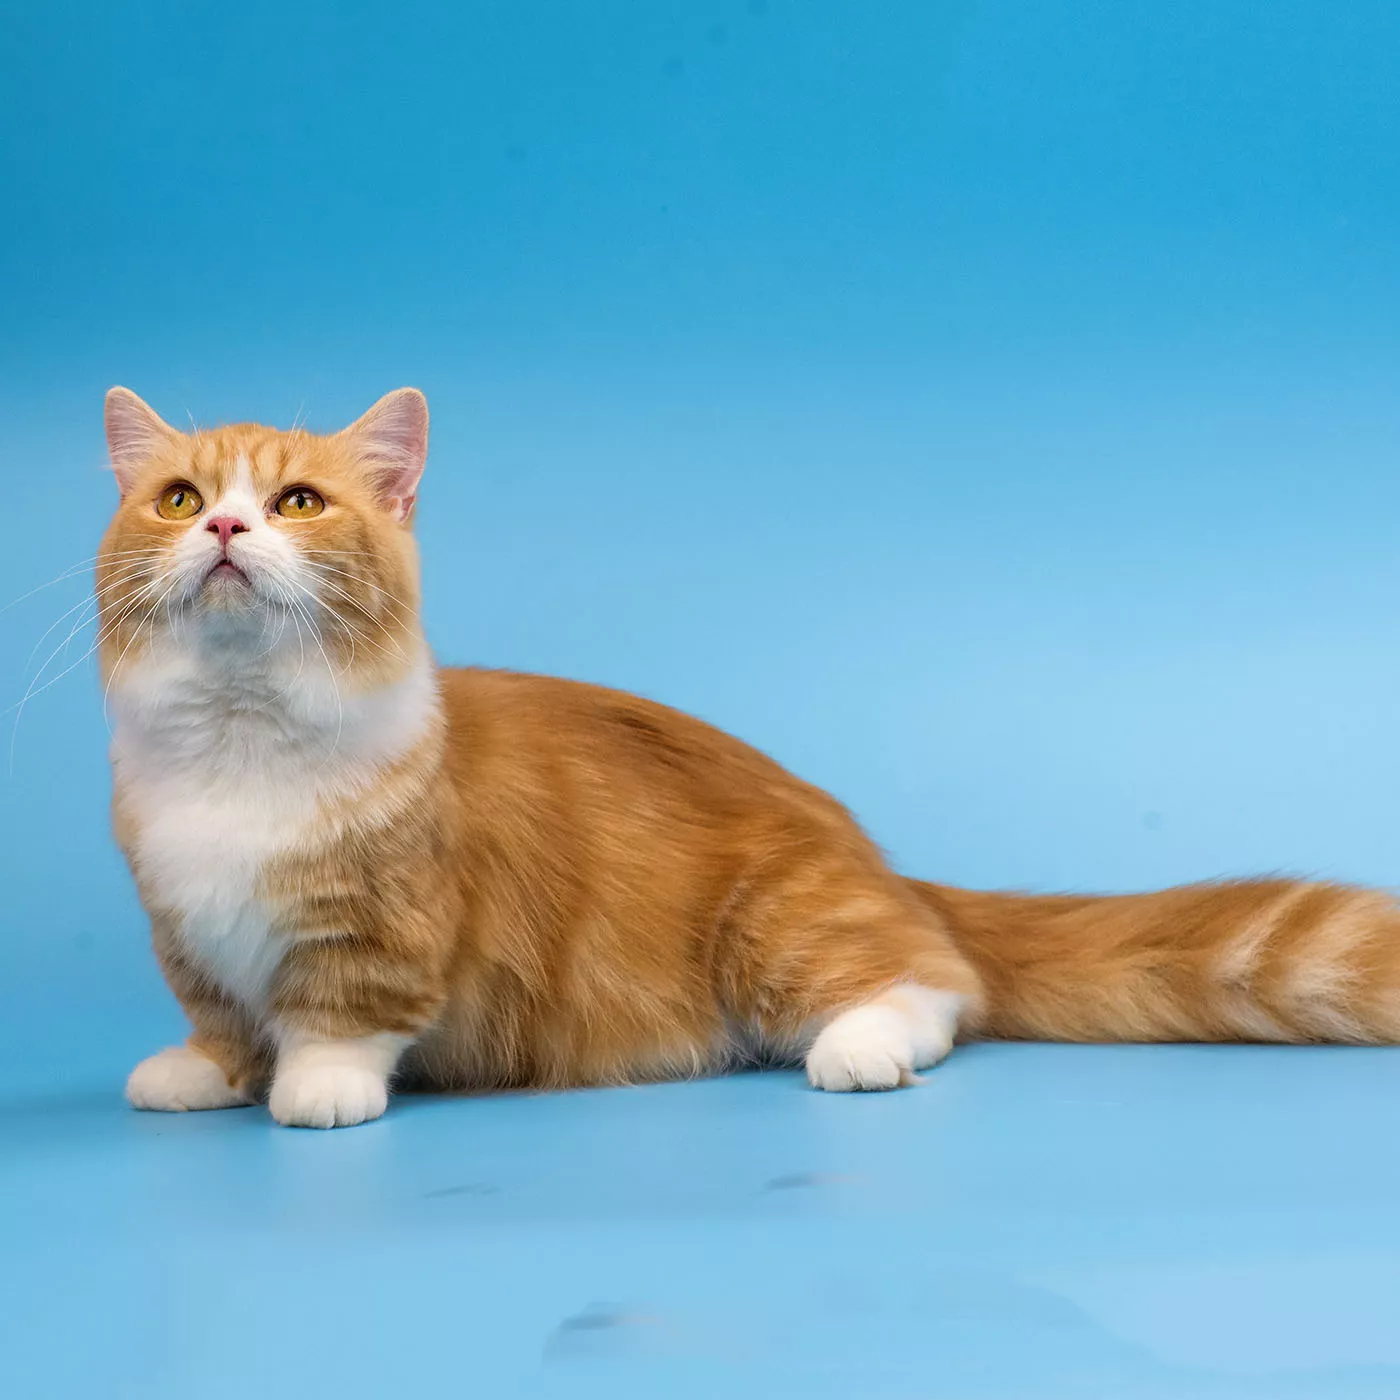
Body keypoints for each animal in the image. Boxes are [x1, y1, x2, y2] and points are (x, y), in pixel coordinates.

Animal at [103, 386, 1400, 1125]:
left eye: (299, 501)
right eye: (177, 499)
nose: (227, 525)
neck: (241, 738)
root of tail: (879, 863)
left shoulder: (386, 927)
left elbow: (340, 1013)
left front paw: (314, 1086)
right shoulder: (183, 927)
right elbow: (222, 1016)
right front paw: (208, 1071)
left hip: (776, 924)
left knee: (936, 985)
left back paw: (858, 1051)